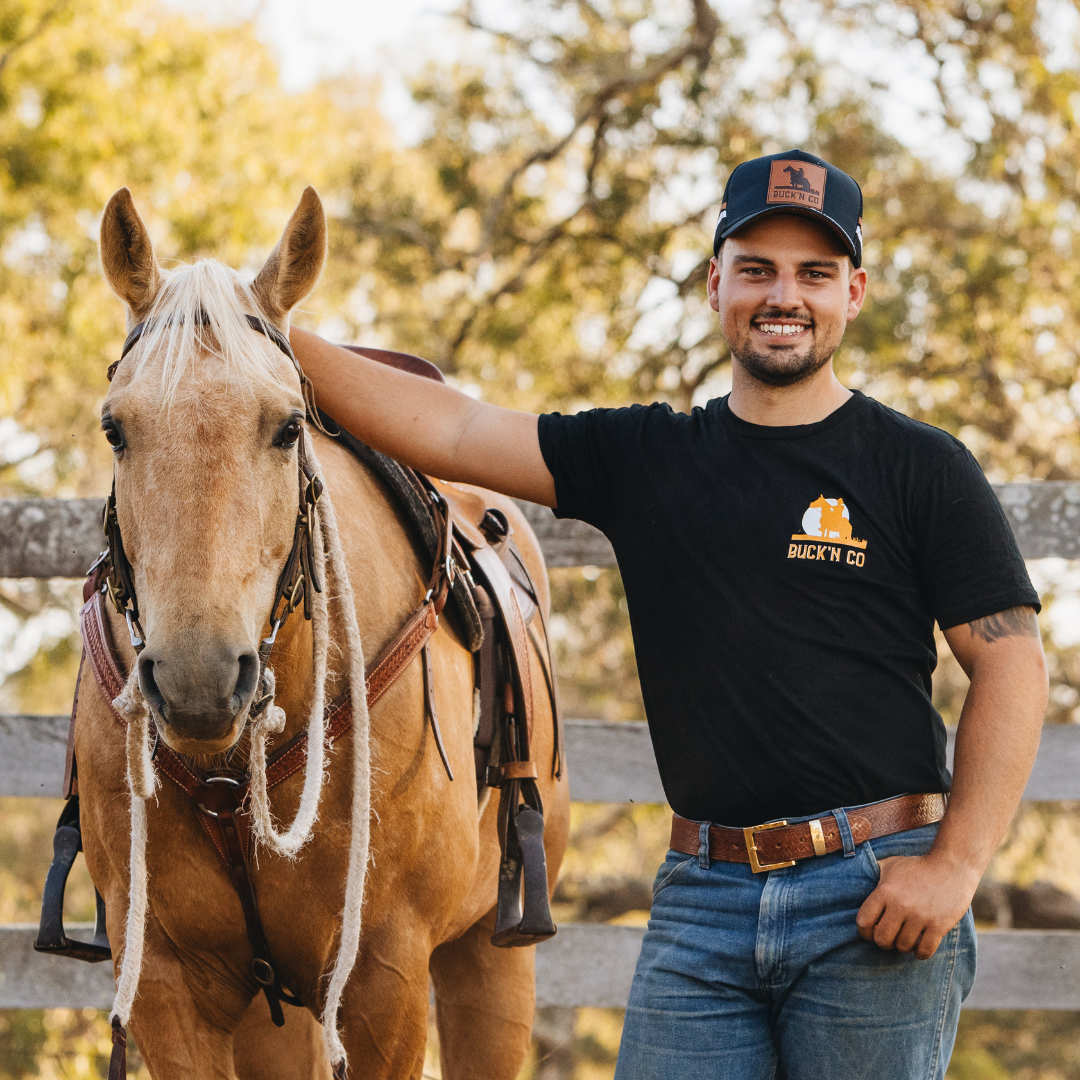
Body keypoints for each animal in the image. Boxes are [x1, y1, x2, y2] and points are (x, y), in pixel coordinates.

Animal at [71, 187, 570, 1080]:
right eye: (115, 430)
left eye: (288, 427)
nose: (199, 679)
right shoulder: (166, 984)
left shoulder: (383, 979)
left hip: (489, 958)